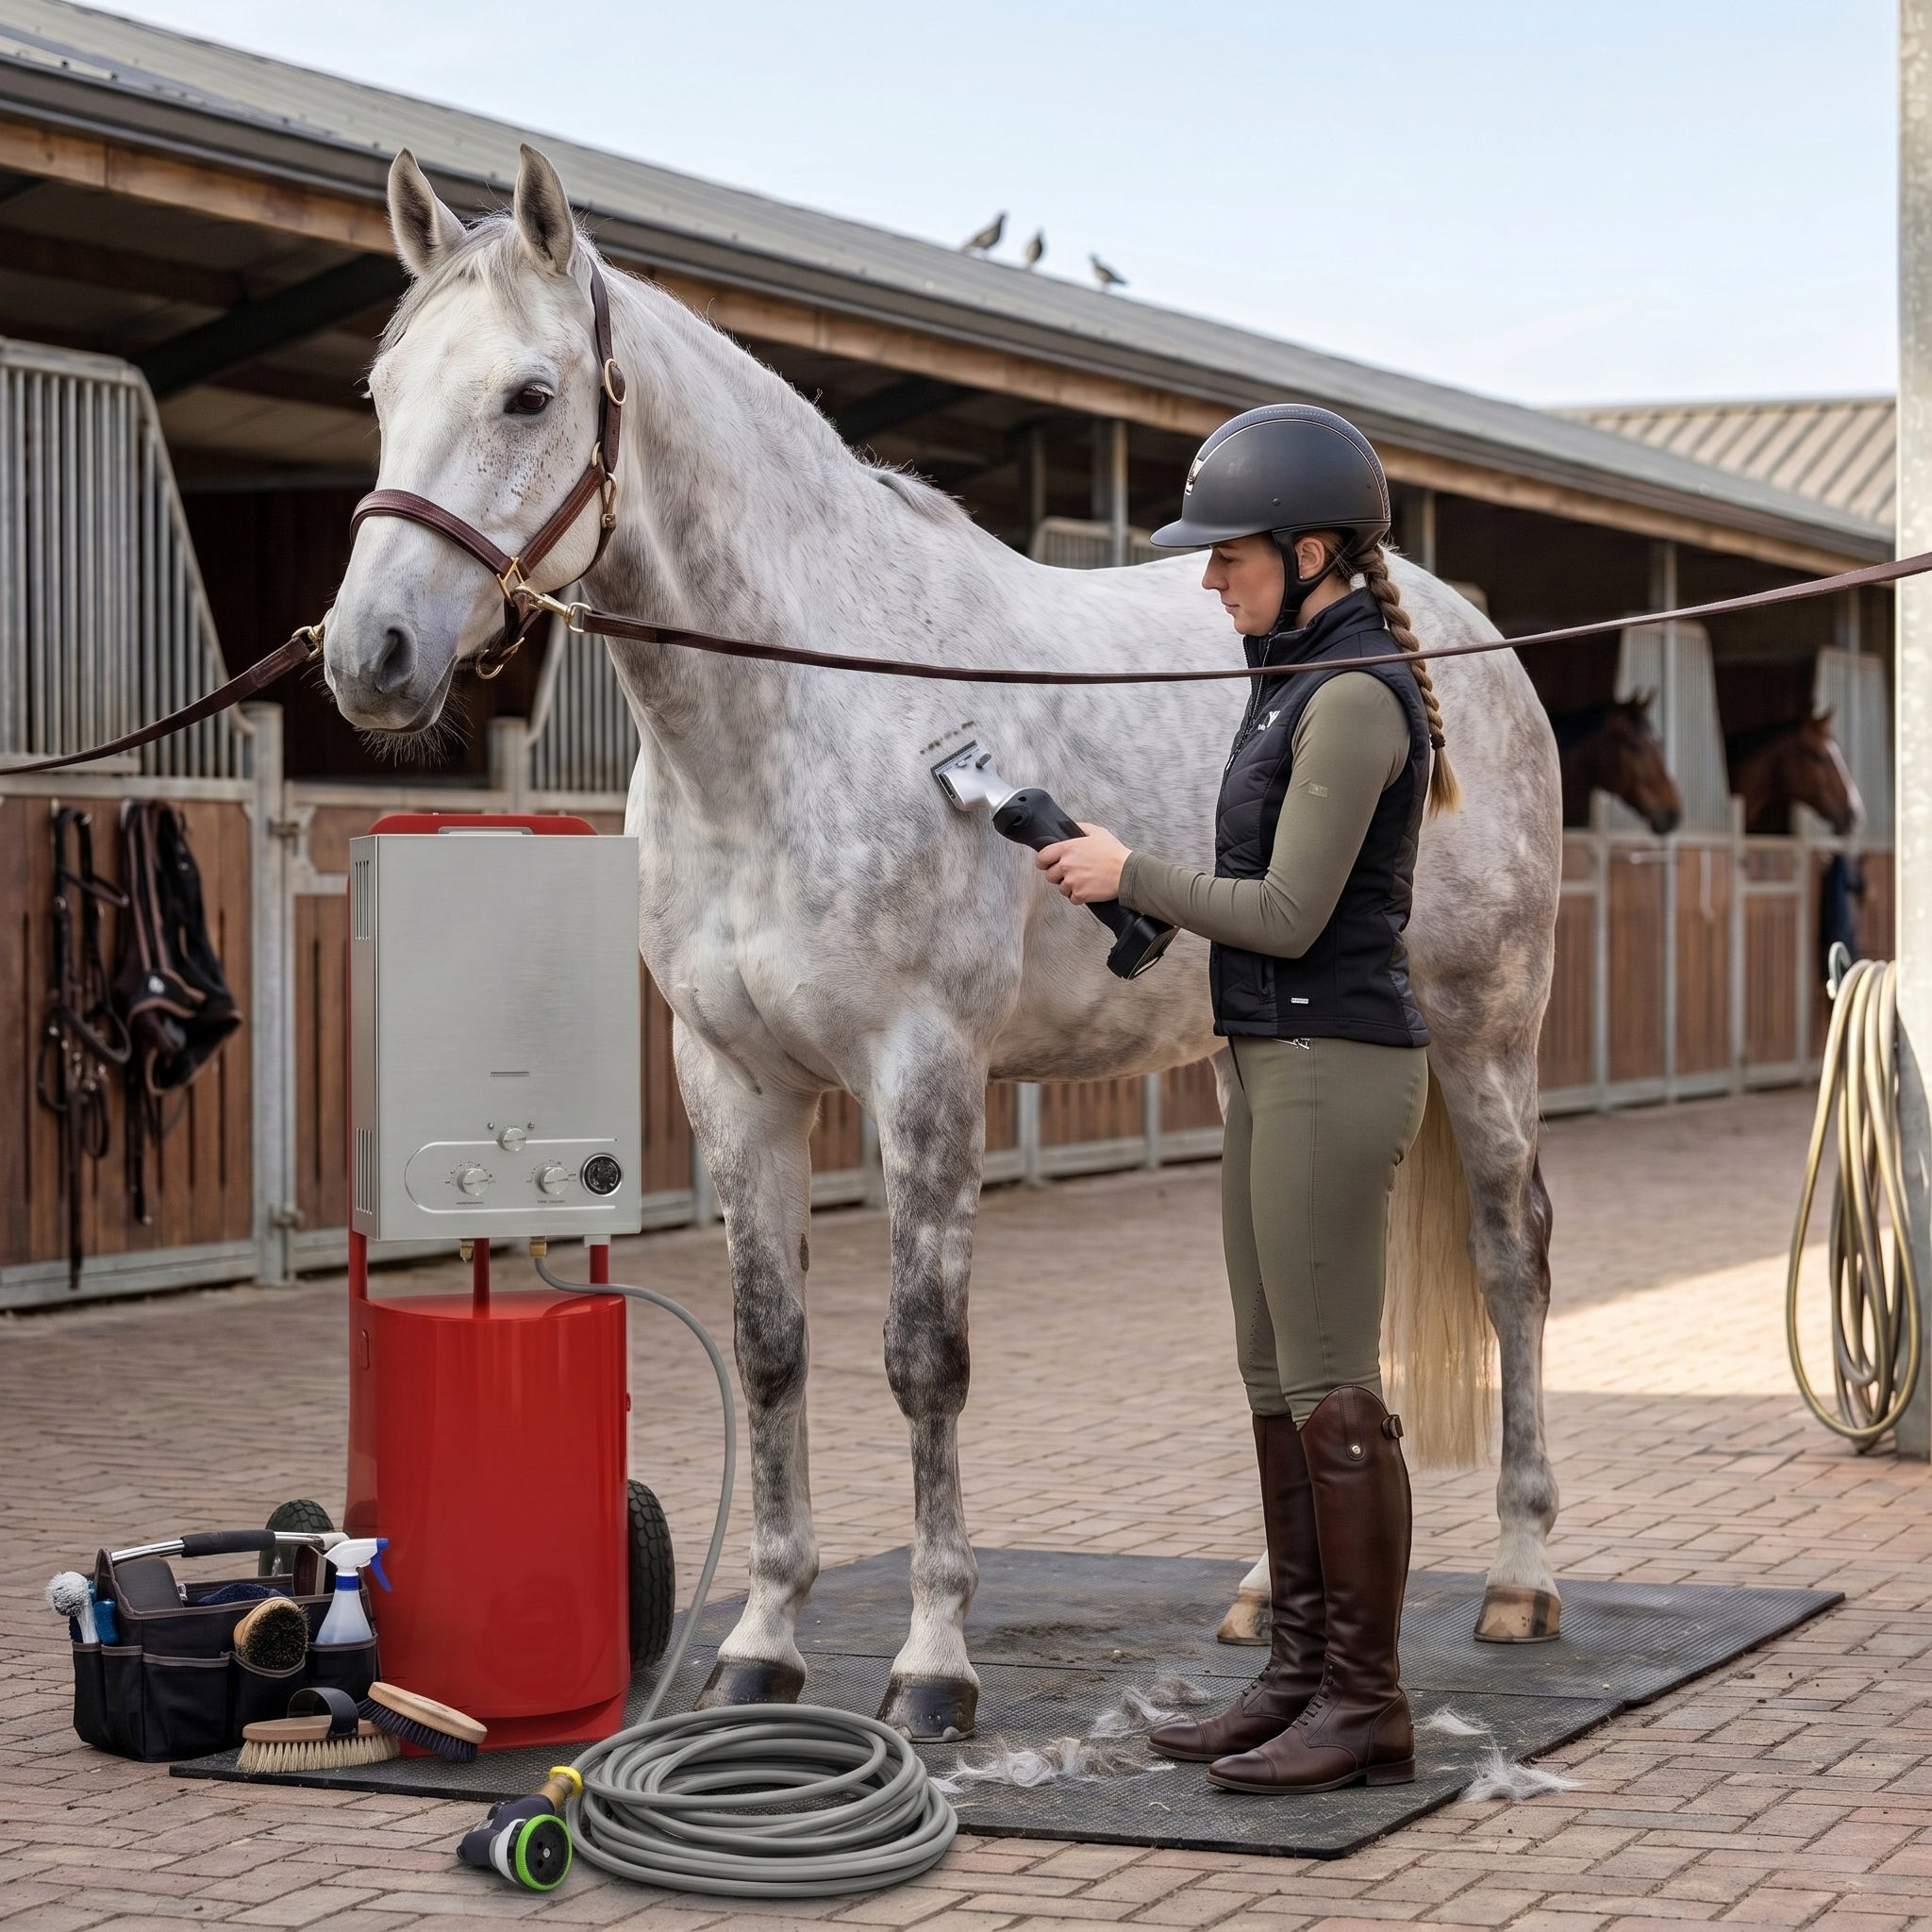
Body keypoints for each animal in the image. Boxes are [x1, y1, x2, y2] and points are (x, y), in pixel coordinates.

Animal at [322, 145, 1566, 1740]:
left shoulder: (923, 1071)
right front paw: (763, 1644)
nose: (368, 657)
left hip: (1483, 1030)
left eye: (530, 395)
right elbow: (771, 1351)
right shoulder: (733, 1078)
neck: (802, 713)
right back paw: (1253, 1593)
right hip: (1262, 1060)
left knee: (1512, 1256)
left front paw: (931, 1665)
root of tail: (1466, 640)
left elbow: (924, 1360)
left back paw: (1523, 1577)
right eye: (381, 388)